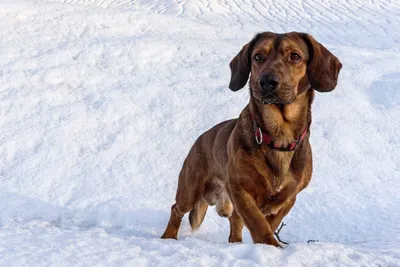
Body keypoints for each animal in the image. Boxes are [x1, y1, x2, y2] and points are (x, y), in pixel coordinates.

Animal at [161, 31, 342, 247]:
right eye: (257, 56)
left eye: (295, 56)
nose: (267, 82)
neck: (278, 136)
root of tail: (200, 138)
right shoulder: (238, 188)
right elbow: (257, 222)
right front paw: (270, 246)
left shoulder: (288, 198)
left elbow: (269, 223)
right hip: (190, 190)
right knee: (176, 209)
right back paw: (168, 237)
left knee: (234, 222)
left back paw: (235, 243)